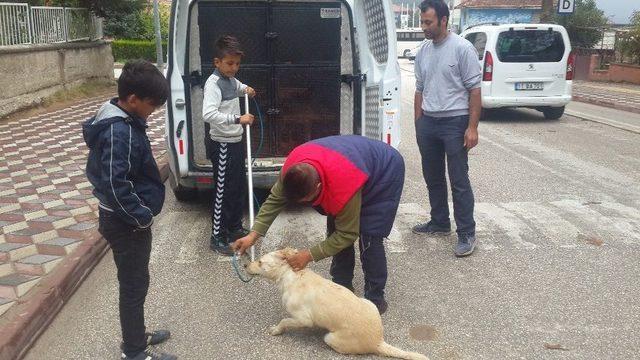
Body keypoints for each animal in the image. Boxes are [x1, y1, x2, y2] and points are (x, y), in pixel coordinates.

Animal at [245, 248, 430, 360]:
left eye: (260, 261)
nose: (245, 264)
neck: (291, 274)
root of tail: (378, 340)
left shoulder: (303, 319)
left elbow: (284, 321)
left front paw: (276, 330)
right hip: (368, 302)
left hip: (331, 338)